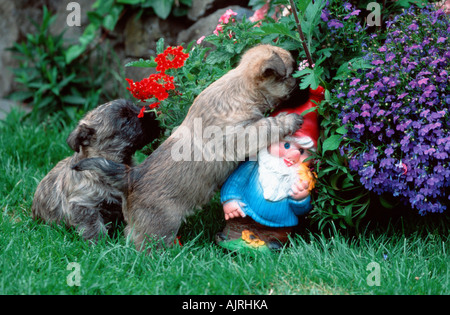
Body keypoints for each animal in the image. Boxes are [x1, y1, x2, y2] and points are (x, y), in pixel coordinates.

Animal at [30, 100, 160, 241]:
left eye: (135, 106)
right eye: (126, 121)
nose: (153, 113)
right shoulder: (83, 205)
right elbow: (94, 226)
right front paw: (100, 242)